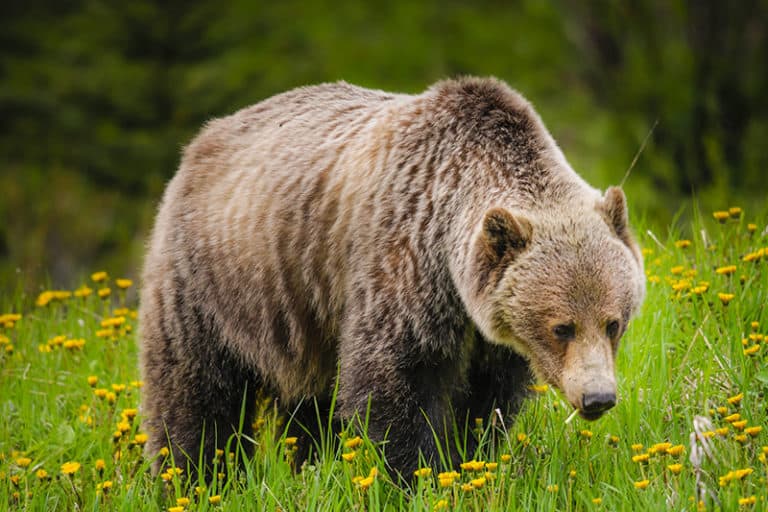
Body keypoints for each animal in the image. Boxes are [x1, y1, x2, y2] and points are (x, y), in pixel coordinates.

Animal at [140, 77, 648, 480]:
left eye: (613, 323)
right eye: (562, 327)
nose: (598, 397)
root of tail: (201, 141)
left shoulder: (489, 334)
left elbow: (486, 404)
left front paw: (468, 461)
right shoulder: (402, 261)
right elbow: (395, 382)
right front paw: (416, 474)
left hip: (302, 318)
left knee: (308, 406)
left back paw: (308, 467)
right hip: (214, 282)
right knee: (196, 396)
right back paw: (195, 479)